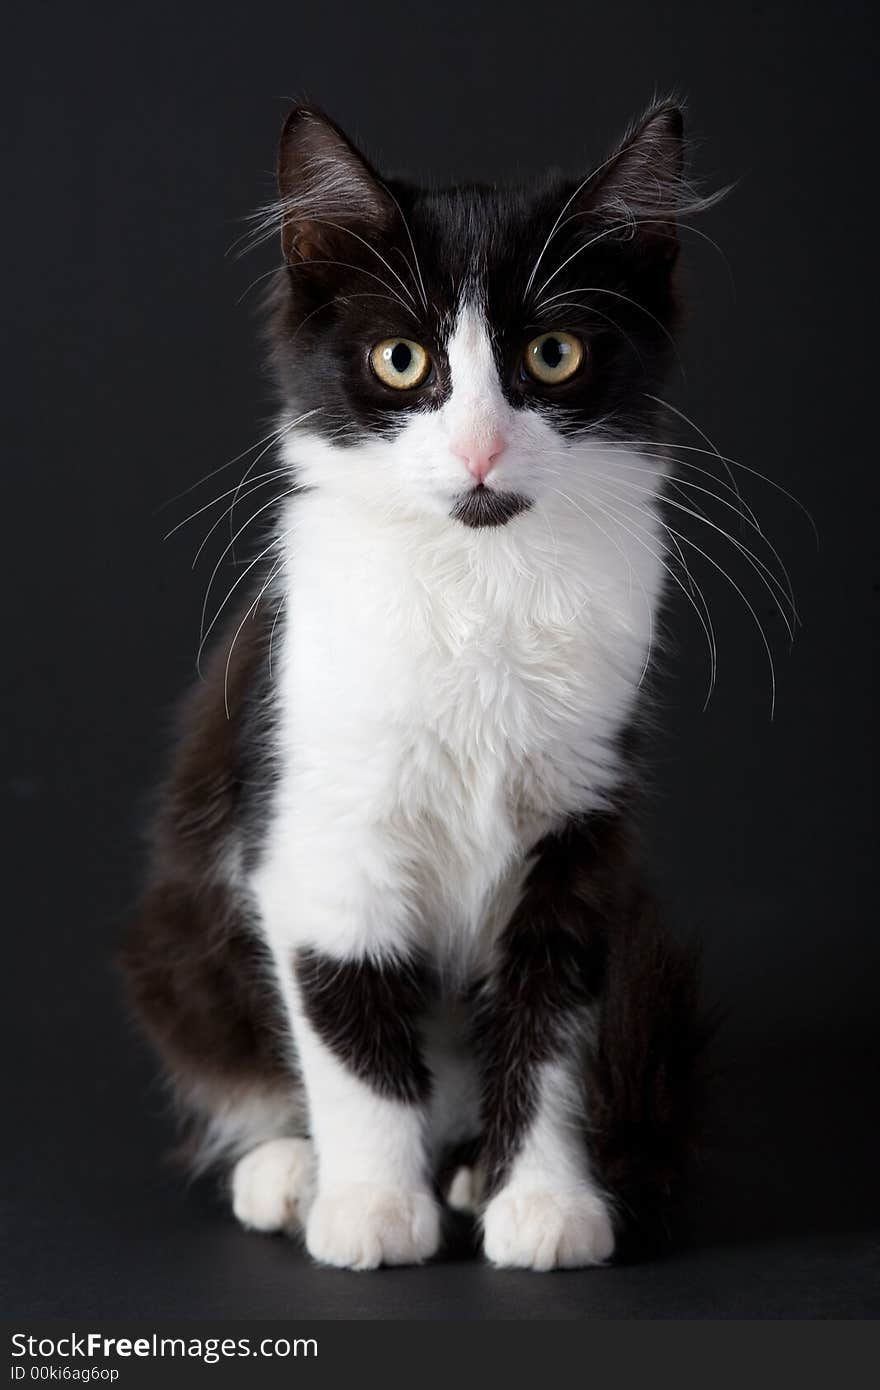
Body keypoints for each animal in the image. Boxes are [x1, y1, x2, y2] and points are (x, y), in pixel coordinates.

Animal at [121, 100, 706, 1273]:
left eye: (553, 353)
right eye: (403, 359)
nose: (479, 448)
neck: (477, 582)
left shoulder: (580, 831)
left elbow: (552, 1019)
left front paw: (543, 1200)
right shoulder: (319, 828)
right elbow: (351, 1030)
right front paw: (374, 1208)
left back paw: (472, 1166)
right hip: (179, 943)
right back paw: (290, 1170)